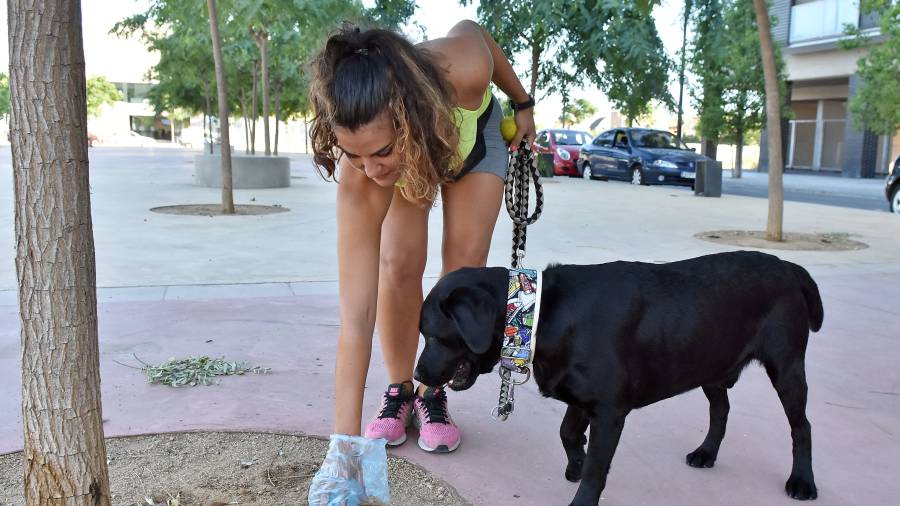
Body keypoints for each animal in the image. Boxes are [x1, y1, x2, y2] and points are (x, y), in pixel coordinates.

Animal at [414, 251, 824, 504]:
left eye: (432, 336)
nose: (417, 374)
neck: (538, 313)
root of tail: (789, 267)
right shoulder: (582, 397)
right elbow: (567, 432)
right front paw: (576, 462)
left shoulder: (610, 410)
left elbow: (597, 469)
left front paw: (582, 490)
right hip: (711, 362)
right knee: (720, 411)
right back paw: (707, 452)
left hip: (787, 368)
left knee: (802, 426)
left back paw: (802, 481)